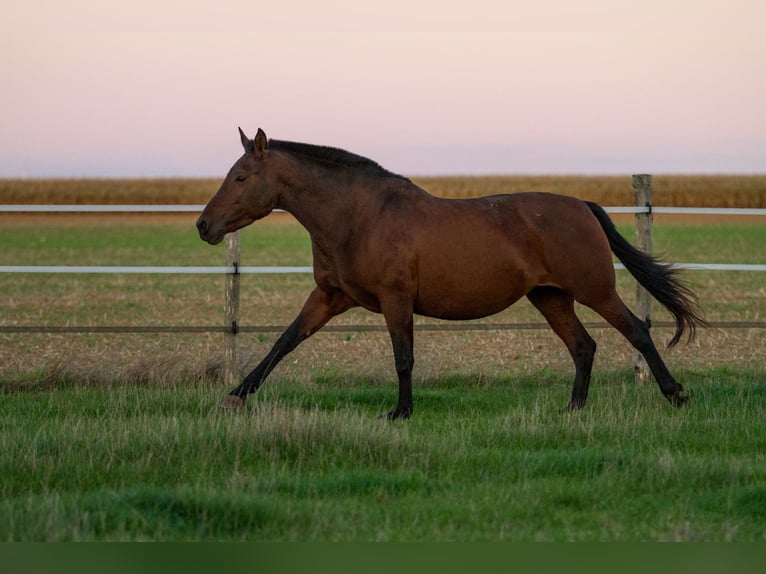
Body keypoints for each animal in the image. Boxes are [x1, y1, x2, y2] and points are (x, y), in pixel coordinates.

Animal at [198, 128, 708, 420]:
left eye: (241, 177)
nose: (204, 225)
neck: (358, 216)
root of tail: (582, 205)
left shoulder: (396, 299)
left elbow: (403, 358)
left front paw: (400, 412)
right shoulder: (328, 296)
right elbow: (284, 341)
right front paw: (236, 397)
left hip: (594, 289)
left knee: (637, 332)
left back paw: (676, 396)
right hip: (550, 296)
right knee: (583, 346)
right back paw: (572, 409)